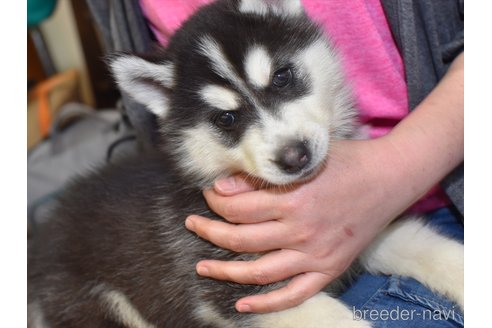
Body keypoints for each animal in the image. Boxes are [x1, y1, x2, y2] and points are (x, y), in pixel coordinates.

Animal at [27, 0, 466, 328]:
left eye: (282, 77)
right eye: (226, 119)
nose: (294, 156)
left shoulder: (365, 230)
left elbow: (428, 247)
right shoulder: (240, 288)